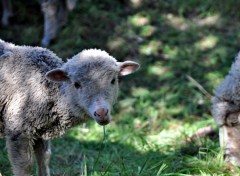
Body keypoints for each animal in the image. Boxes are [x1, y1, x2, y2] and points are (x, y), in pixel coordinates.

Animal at [0, 38, 140, 176]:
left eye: (113, 80)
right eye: (76, 84)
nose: (101, 113)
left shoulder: (39, 129)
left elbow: (44, 159)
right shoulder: (18, 130)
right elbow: (24, 166)